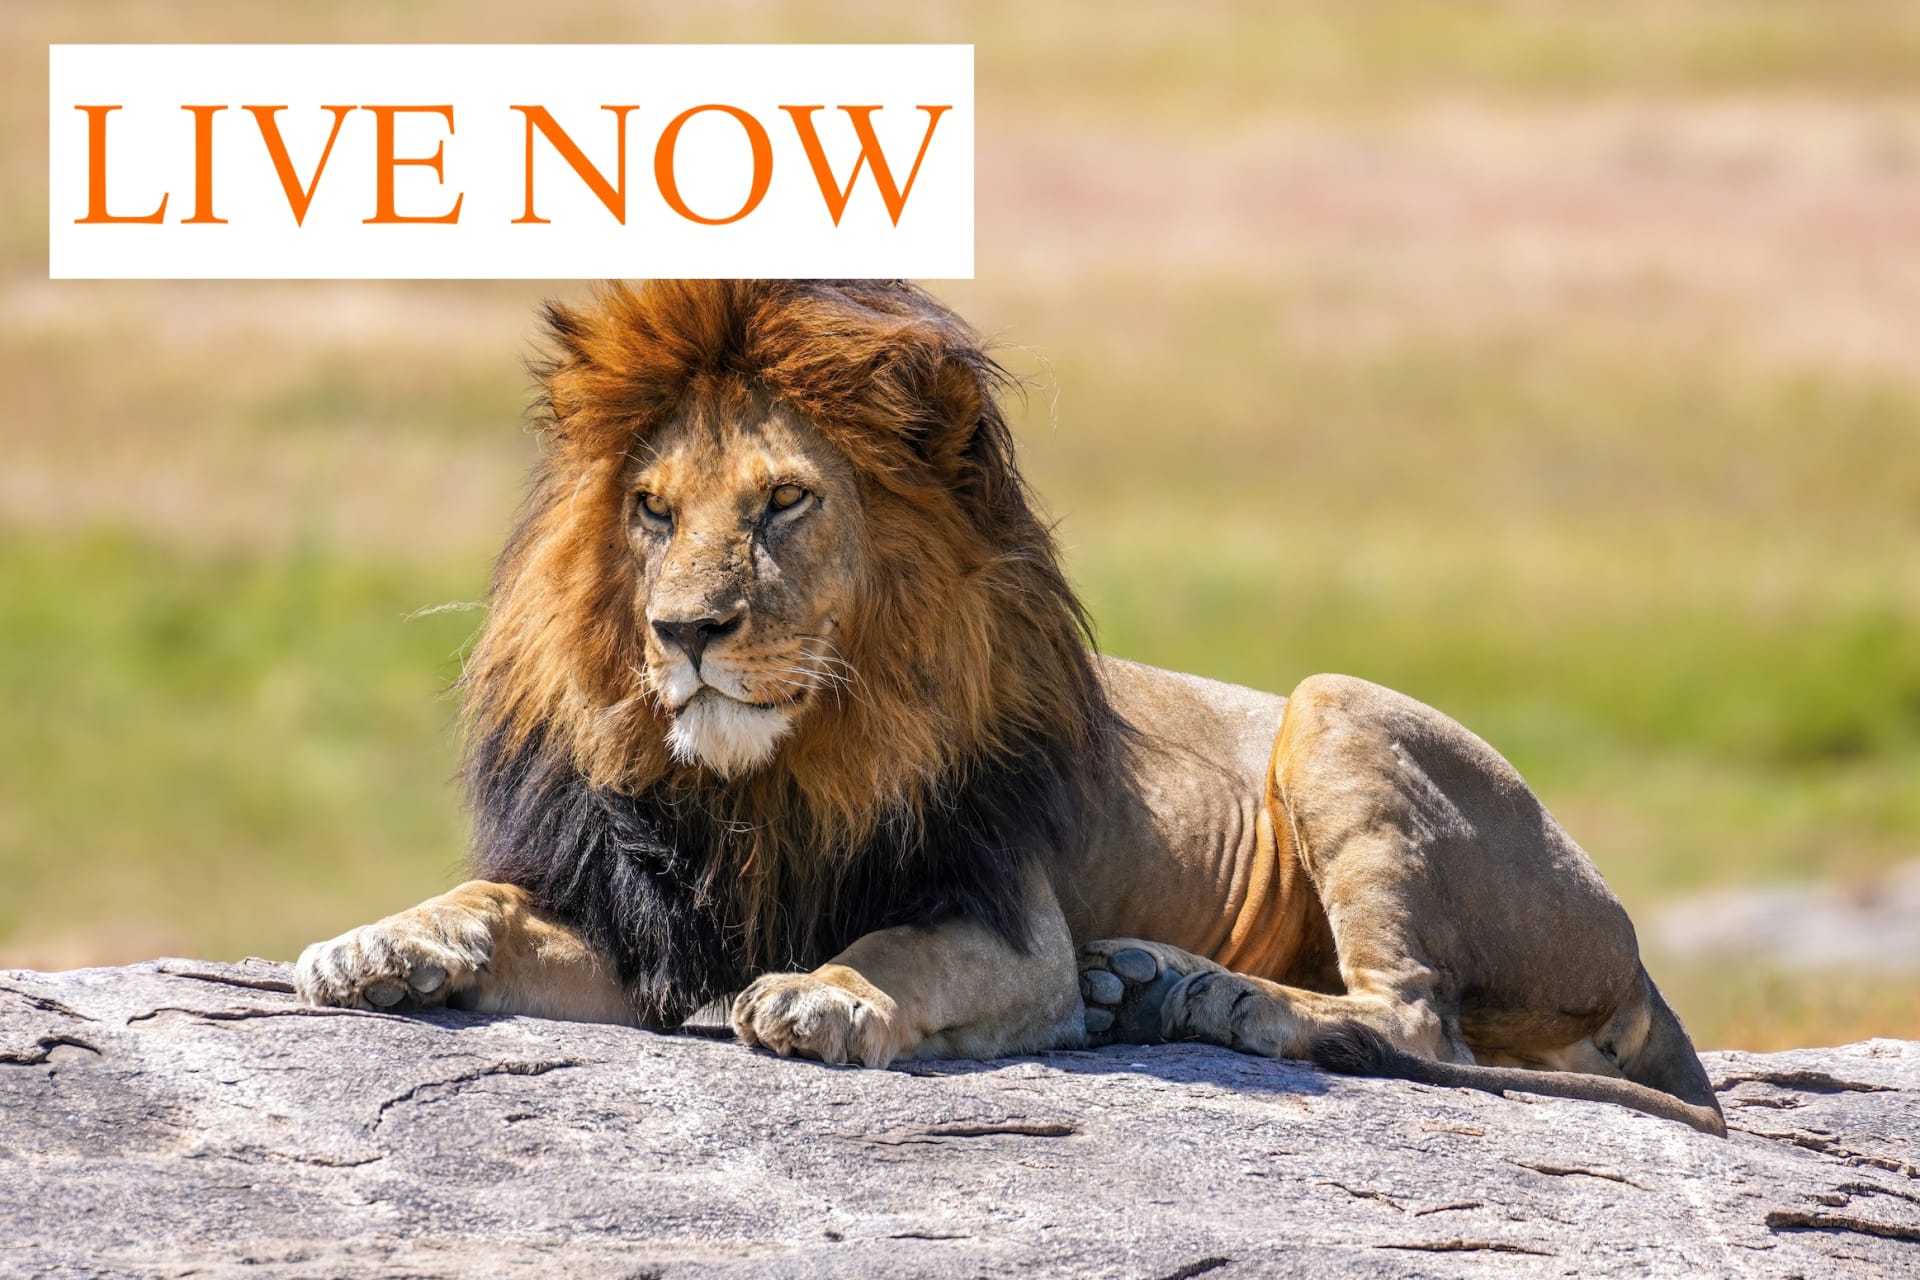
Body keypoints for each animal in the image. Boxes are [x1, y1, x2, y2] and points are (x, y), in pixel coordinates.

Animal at [295, 279, 1726, 1136]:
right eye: (651, 510)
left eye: (784, 502)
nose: (683, 633)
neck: (772, 779)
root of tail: (1636, 947)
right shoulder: (649, 929)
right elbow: (487, 902)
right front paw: (379, 944)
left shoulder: (1010, 923)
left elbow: (895, 951)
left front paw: (821, 996)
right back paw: (1157, 985)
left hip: (1336, 709)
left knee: (1413, 1017)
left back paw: (1196, 996)